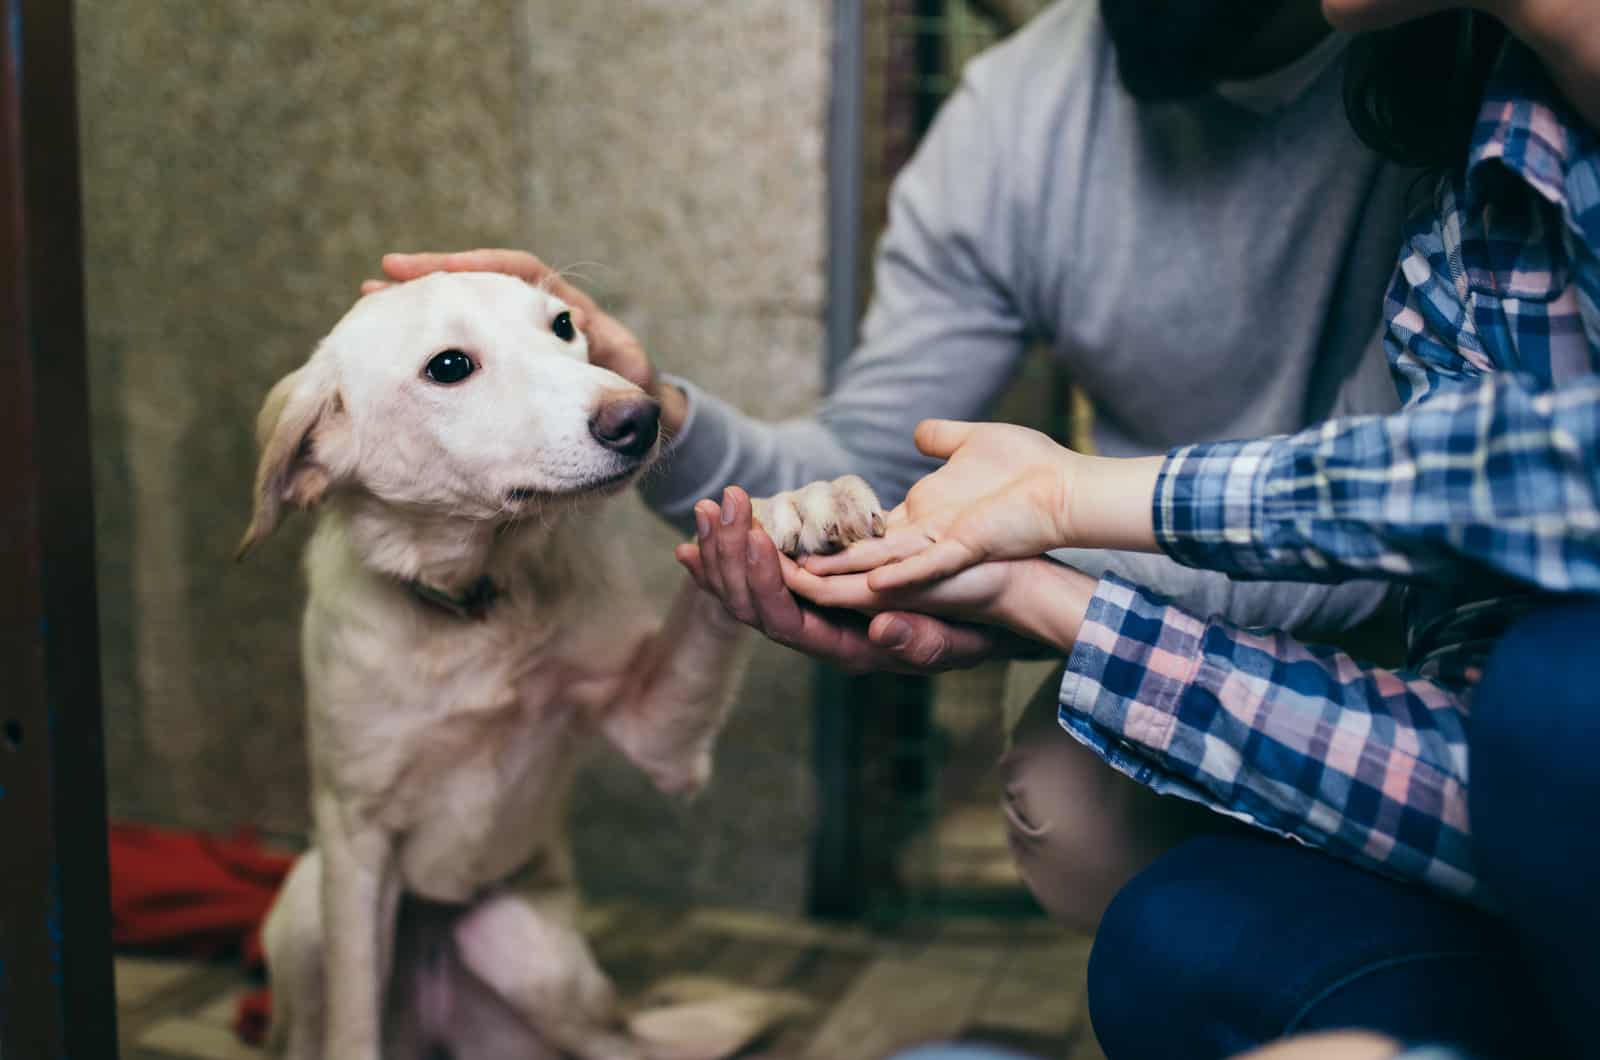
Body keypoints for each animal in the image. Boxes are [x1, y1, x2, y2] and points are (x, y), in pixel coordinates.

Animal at [243, 273, 883, 1060]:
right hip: (309, 906)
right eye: (449, 366)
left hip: (532, 959)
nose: (639, 417)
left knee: (622, 1046)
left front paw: (790, 505)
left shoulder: (657, 732)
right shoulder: (356, 842)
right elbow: (353, 1025)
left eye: (563, 325)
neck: (477, 604)